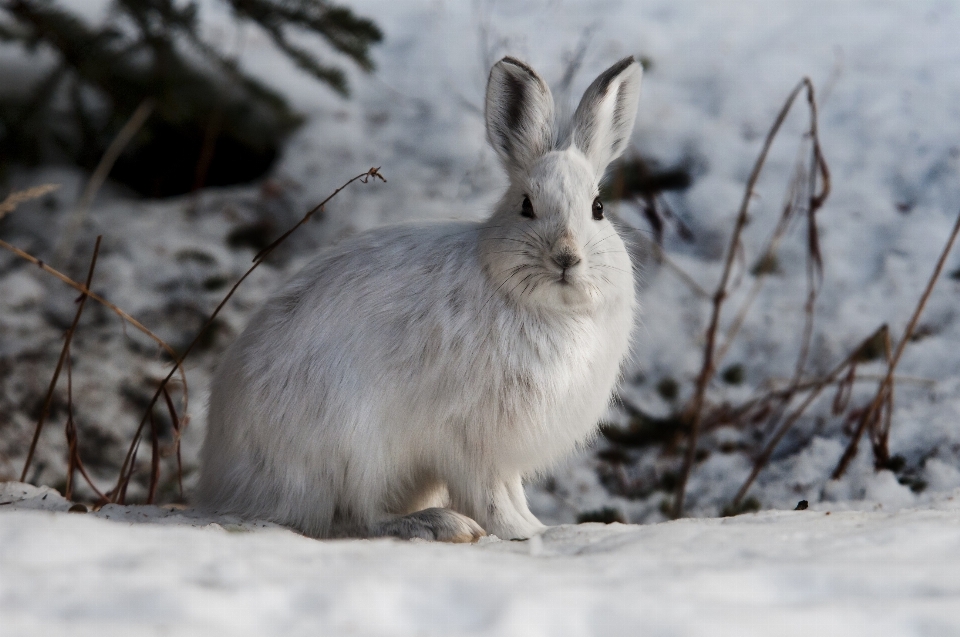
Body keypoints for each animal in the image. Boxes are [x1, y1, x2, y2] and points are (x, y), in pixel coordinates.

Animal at [198, 56, 640, 540]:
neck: (546, 308)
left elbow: (511, 491)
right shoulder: (470, 438)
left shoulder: (499, 453)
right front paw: (519, 532)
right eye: (526, 206)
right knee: (358, 517)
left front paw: (536, 527)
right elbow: (489, 494)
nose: (566, 257)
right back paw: (437, 524)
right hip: (354, 447)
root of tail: (228, 482)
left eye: (598, 209)